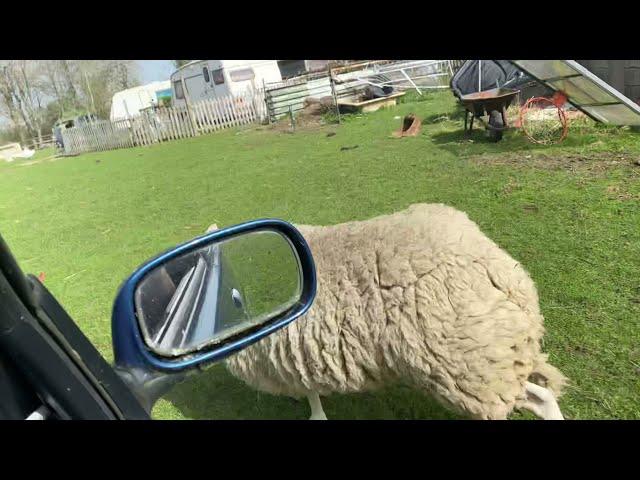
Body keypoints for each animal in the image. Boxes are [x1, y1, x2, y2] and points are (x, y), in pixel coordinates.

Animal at [208, 204, 568, 418]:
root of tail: (503, 272)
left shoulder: (287, 351)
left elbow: (309, 393)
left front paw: (314, 412)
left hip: (476, 370)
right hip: (499, 359)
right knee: (545, 398)